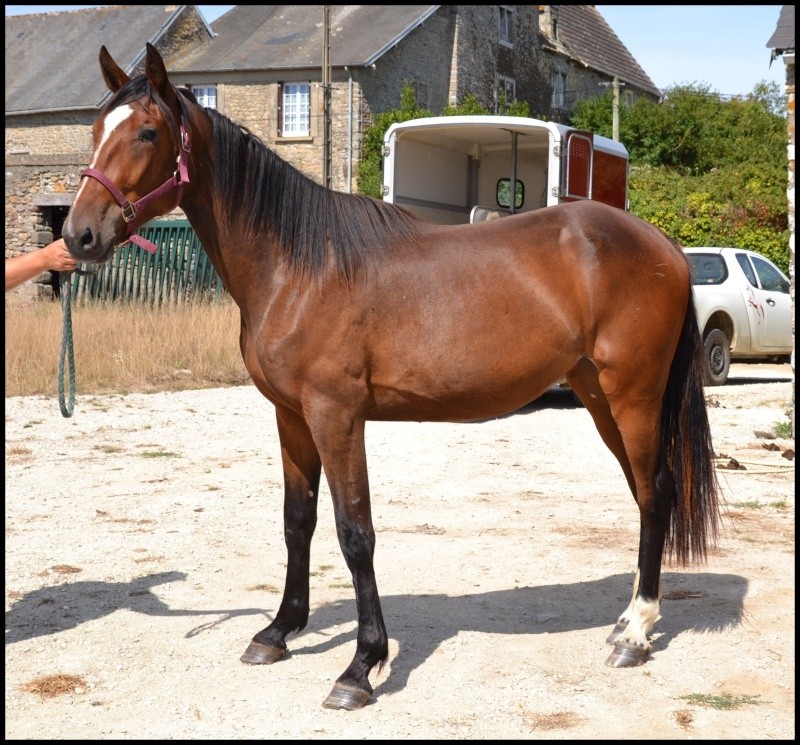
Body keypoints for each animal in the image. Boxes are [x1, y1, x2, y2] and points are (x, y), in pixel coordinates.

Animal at [64, 42, 720, 708]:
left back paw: (635, 634)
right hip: (597, 393)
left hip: (632, 396)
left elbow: (356, 532)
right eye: (94, 130)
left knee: (655, 493)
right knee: (644, 494)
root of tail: (665, 247)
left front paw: (361, 666)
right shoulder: (291, 416)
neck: (299, 268)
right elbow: (297, 522)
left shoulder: (337, 416)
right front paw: (278, 631)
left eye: (147, 132)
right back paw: (627, 622)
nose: (78, 235)